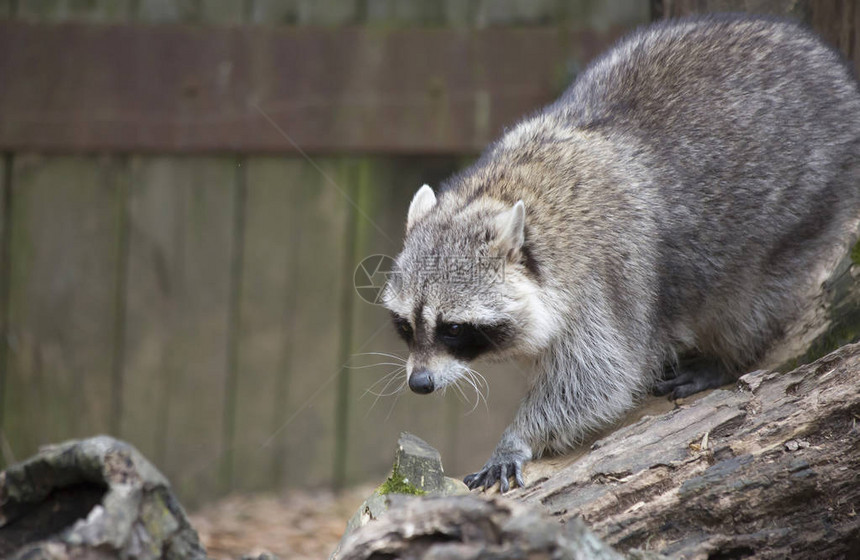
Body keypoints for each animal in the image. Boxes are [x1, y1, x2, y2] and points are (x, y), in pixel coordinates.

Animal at [382, 15, 860, 492]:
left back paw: (727, 355)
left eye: (453, 329)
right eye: (406, 325)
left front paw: (519, 435)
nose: (419, 383)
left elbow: (602, 377)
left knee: (752, 298)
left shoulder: (605, 273)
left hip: (809, 200)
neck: (501, 191)